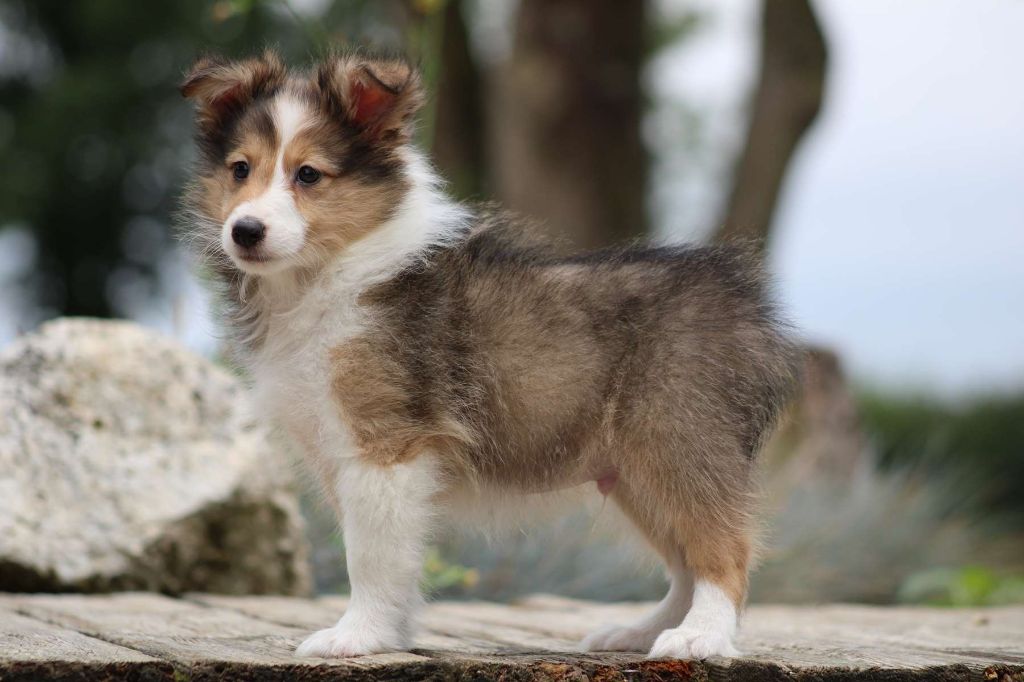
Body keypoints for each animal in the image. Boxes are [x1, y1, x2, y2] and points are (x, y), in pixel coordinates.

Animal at [179, 50, 798, 660]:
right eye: (240, 169)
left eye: (308, 174)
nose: (245, 231)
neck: (330, 274)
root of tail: (744, 303)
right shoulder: (343, 454)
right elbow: (390, 554)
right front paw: (390, 634)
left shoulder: (386, 446)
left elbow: (369, 556)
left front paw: (356, 637)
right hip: (633, 473)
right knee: (685, 565)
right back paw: (638, 633)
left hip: (678, 442)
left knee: (724, 552)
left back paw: (700, 637)